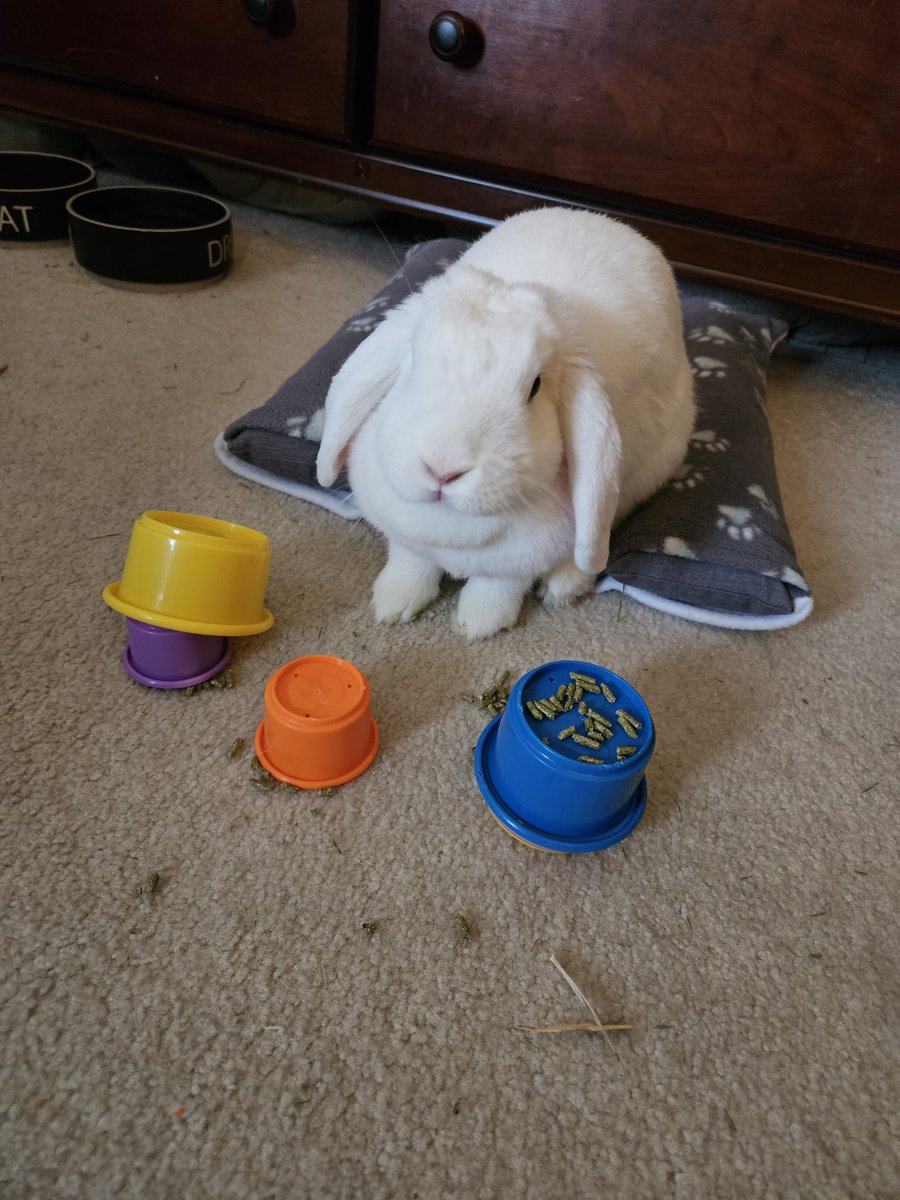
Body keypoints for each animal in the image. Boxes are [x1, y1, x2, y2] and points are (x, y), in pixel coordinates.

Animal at [316, 206, 696, 638]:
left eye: (535, 387)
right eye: (411, 360)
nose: (443, 470)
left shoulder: (518, 563)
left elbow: (497, 586)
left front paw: (476, 626)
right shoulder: (406, 540)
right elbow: (410, 562)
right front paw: (393, 605)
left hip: (639, 472)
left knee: (603, 526)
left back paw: (564, 584)